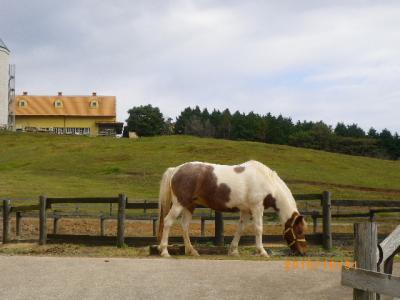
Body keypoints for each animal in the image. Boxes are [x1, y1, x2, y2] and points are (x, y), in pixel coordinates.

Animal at [156, 161, 306, 256]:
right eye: (298, 231)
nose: (303, 252)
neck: (267, 182)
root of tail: (175, 169)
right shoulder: (257, 207)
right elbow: (258, 229)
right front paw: (262, 251)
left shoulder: (246, 211)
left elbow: (240, 229)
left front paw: (233, 251)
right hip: (179, 204)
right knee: (168, 222)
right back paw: (164, 251)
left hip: (189, 206)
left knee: (185, 226)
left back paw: (191, 251)